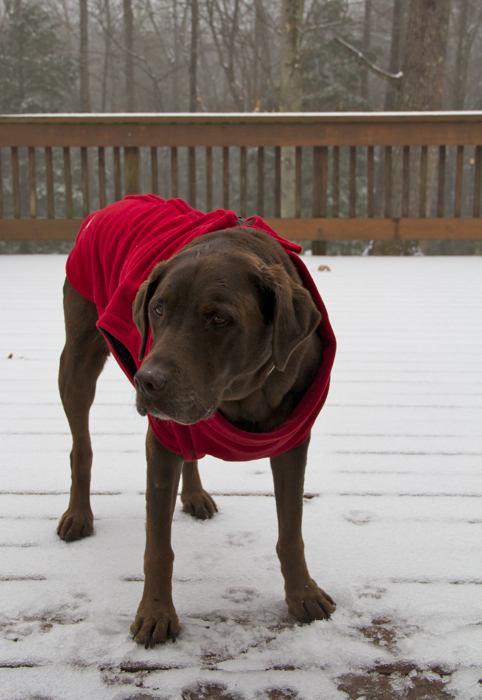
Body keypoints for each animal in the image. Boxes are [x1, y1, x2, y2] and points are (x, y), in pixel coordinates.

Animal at [57, 211, 336, 648]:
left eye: (219, 318)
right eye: (157, 309)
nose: (146, 382)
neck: (240, 392)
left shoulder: (292, 440)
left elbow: (291, 531)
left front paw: (302, 595)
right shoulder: (160, 441)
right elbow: (158, 546)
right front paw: (155, 613)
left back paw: (193, 495)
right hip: (79, 358)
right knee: (80, 445)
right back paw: (77, 514)